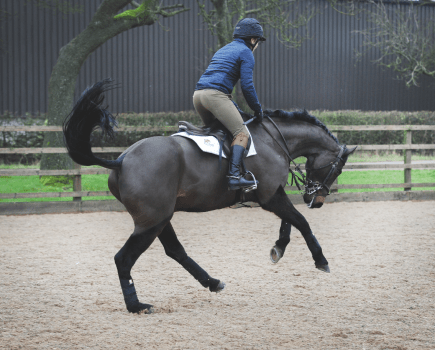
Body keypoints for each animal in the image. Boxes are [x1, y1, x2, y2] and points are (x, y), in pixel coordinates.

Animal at [63, 80, 356, 314]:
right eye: (339, 169)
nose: (317, 200)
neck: (274, 140)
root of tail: (122, 160)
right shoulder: (269, 196)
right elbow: (301, 222)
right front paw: (320, 260)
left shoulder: (274, 192)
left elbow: (291, 221)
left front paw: (279, 247)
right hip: (151, 222)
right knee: (124, 259)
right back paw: (137, 305)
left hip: (160, 218)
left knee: (175, 250)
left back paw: (212, 282)